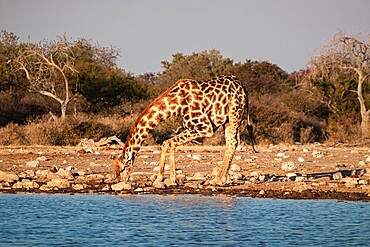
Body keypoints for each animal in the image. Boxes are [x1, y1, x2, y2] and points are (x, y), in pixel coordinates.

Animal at [112, 74, 254, 186]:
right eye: (115, 170)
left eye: (123, 168)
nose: (120, 180)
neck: (176, 104)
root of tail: (244, 88)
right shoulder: (197, 126)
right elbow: (167, 143)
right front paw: (164, 178)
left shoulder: (205, 127)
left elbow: (170, 142)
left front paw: (168, 178)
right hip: (228, 120)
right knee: (230, 143)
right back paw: (219, 179)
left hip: (235, 113)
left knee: (233, 142)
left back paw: (218, 180)